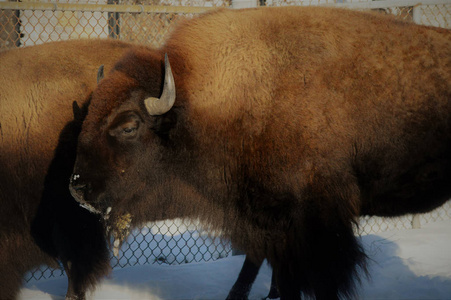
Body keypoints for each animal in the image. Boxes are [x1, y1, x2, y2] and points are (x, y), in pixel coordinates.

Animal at [69, 7, 451, 300]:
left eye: (129, 125)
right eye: (88, 114)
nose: (77, 188)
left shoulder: (317, 224)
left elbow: (319, 281)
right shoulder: (271, 225)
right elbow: (281, 279)